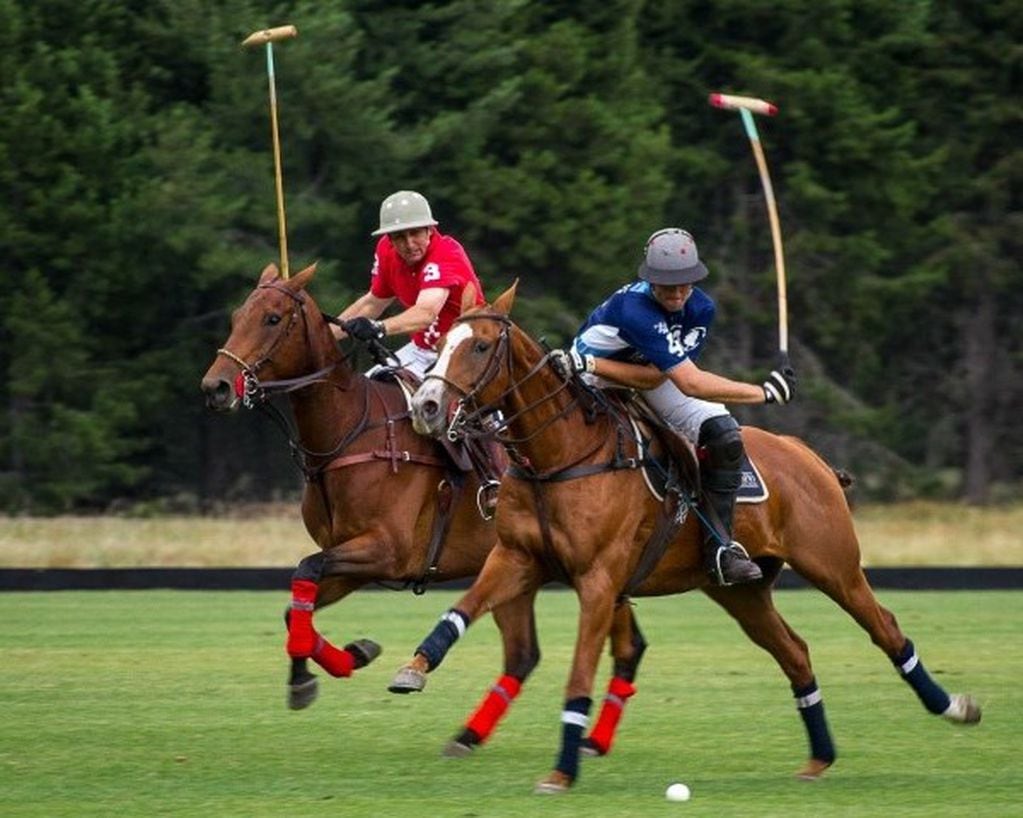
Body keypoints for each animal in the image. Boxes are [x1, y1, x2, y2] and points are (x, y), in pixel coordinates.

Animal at [386, 282, 977, 793]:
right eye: (442, 343)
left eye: (481, 345)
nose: (427, 408)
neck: (558, 456)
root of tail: (808, 455)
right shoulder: (515, 557)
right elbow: (462, 609)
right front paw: (413, 670)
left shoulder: (598, 580)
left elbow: (579, 674)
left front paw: (561, 771)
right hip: (741, 591)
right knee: (796, 652)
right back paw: (820, 757)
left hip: (834, 564)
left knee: (886, 628)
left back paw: (952, 706)